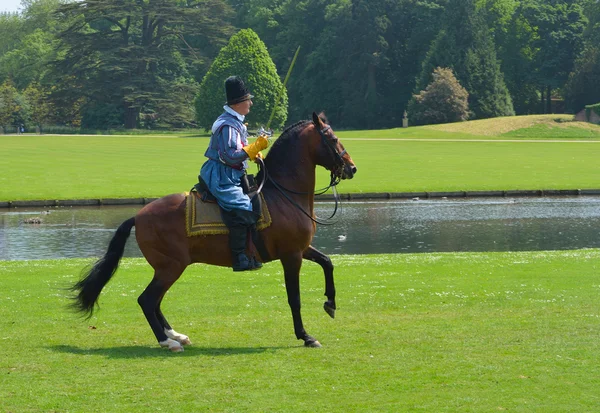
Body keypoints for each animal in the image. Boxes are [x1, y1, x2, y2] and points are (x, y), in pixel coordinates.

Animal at [73, 112, 358, 350]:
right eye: (333, 139)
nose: (352, 167)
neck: (283, 194)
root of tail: (138, 215)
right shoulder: (291, 255)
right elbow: (294, 298)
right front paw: (305, 335)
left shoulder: (301, 249)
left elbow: (327, 261)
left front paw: (330, 303)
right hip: (171, 266)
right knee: (147, 300)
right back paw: (167, 341)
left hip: (168, 267)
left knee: (155, 301)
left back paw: (176, 335)